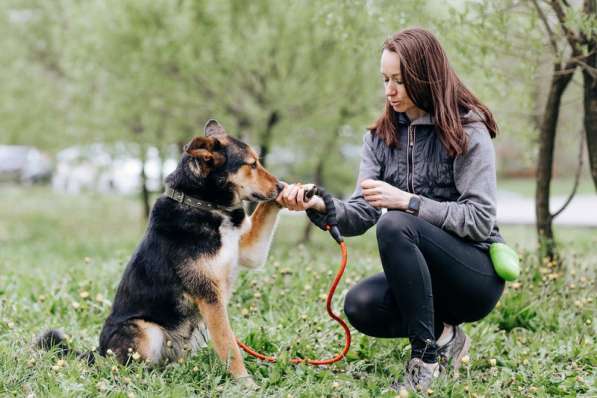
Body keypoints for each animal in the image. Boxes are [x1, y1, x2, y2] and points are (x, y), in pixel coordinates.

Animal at [37, 119, 284, 384]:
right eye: (252, 164)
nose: (280, 186)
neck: (202, 204)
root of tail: (98, 353)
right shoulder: (210, 297)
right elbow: (230, 346)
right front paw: (245, 383)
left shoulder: (248, 252)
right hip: (145, 329)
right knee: (126, 368)